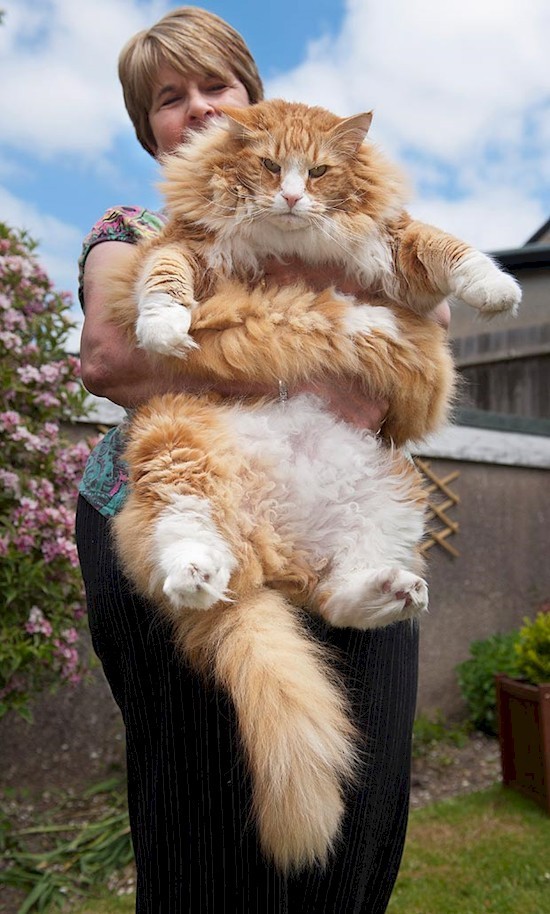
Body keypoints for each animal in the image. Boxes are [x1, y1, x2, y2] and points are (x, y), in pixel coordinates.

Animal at [105, 98, 524, 868]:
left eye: (321, 172)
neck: (290, 245)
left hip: (387, 496)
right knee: (185, 535)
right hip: (176, 446)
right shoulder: (186, 249)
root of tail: (263, 554)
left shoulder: (395, 257)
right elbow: (163, 280)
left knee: (334, 596)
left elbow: (449, 248)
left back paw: (392, 591)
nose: (295, 198)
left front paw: (499, 290)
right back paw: (196, 575)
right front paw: (164, 329)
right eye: (272, 166)